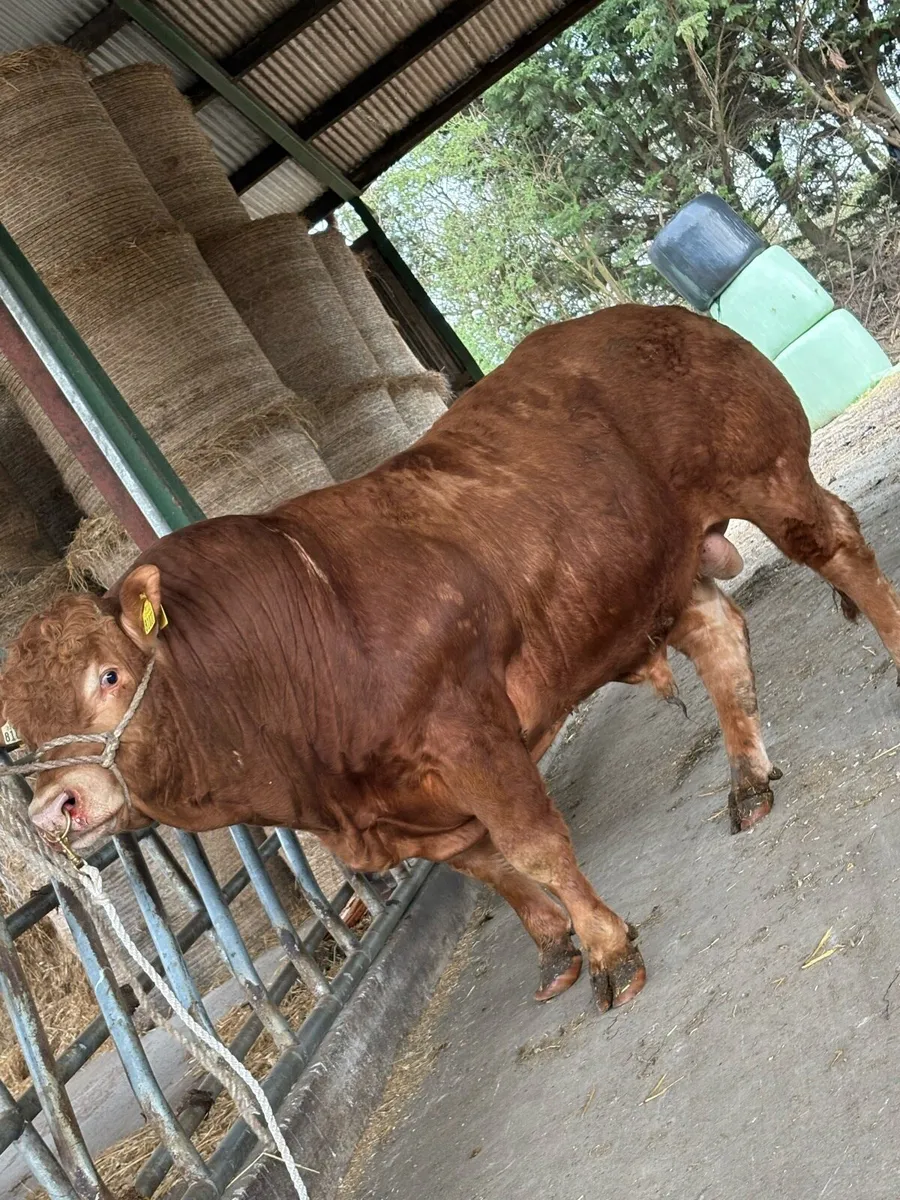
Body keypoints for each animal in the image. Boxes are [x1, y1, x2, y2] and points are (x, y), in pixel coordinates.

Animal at [3, 305, 900, 1014]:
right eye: (18, 724)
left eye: (109, 675)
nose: (56, 807)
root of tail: (661, 314)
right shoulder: (406, 808)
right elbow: (486, 868)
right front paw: (554, 946)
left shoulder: (467, 734)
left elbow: (532, 844)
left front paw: (608, 948)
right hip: (653, 571)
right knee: (719, 634)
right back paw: (747, 779)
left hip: (768, 476)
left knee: (839, 545)